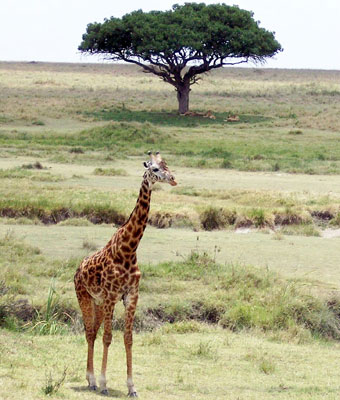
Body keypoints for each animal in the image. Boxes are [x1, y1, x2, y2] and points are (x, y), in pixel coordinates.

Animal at [73, 151, 177, 396]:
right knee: (90, 332)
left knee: (93, 331)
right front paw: (104, 384)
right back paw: (92, 381)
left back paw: (90, 380)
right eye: (155, 169)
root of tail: (78, 268)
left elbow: (128, 338)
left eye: (167, 165)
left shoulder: (131, 295)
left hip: (98, 302)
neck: (128, 250)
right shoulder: (112, 296)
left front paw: (132, 387)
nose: (173, 179)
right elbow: (108, 337)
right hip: (85, 297)